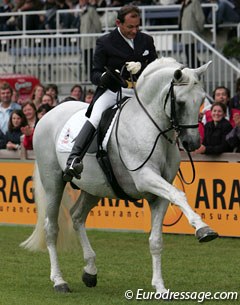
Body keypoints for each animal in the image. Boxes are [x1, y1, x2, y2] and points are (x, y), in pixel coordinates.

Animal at [21, 56, 218, 292]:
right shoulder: (145, 178)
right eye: (179, 102)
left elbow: (156, 241)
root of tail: (48, 114)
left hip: (94, 188)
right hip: (53, 183)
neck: (150, 125)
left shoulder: (159, 193)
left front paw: (160, 287)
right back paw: (59, 281)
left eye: (201, 100)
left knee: (77, 217)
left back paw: (90, 271)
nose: (193, 143)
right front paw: (203, 229)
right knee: (51, 228)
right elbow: (178, 194)